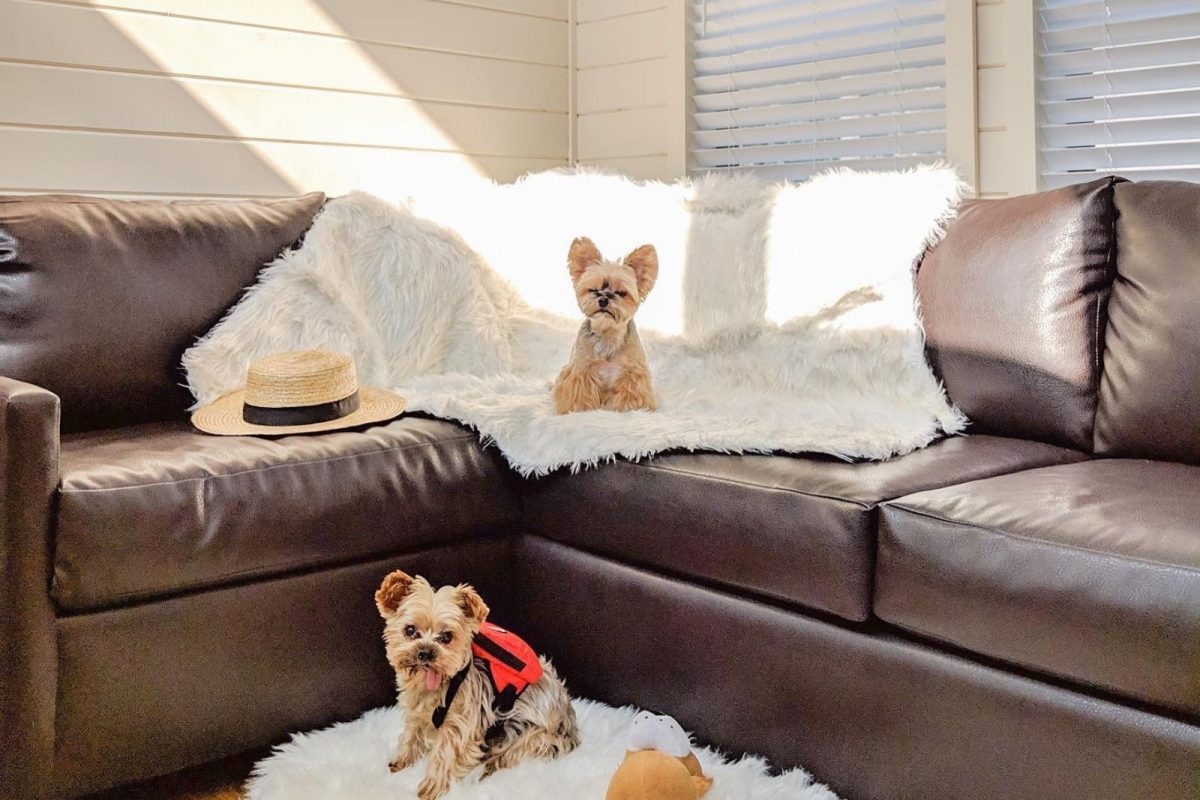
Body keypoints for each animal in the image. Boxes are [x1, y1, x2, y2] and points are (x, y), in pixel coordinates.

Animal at [376, 568, 578, 800]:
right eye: (409, 630)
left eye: (447, 636)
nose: (425, 652)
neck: (435, 685)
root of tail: (568, 716)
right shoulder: (416, 710)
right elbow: (411, 735)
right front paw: (402, 762)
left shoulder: (460, 722)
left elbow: (445, 751)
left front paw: (431, 786)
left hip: (532, 734)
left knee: (509, 753)